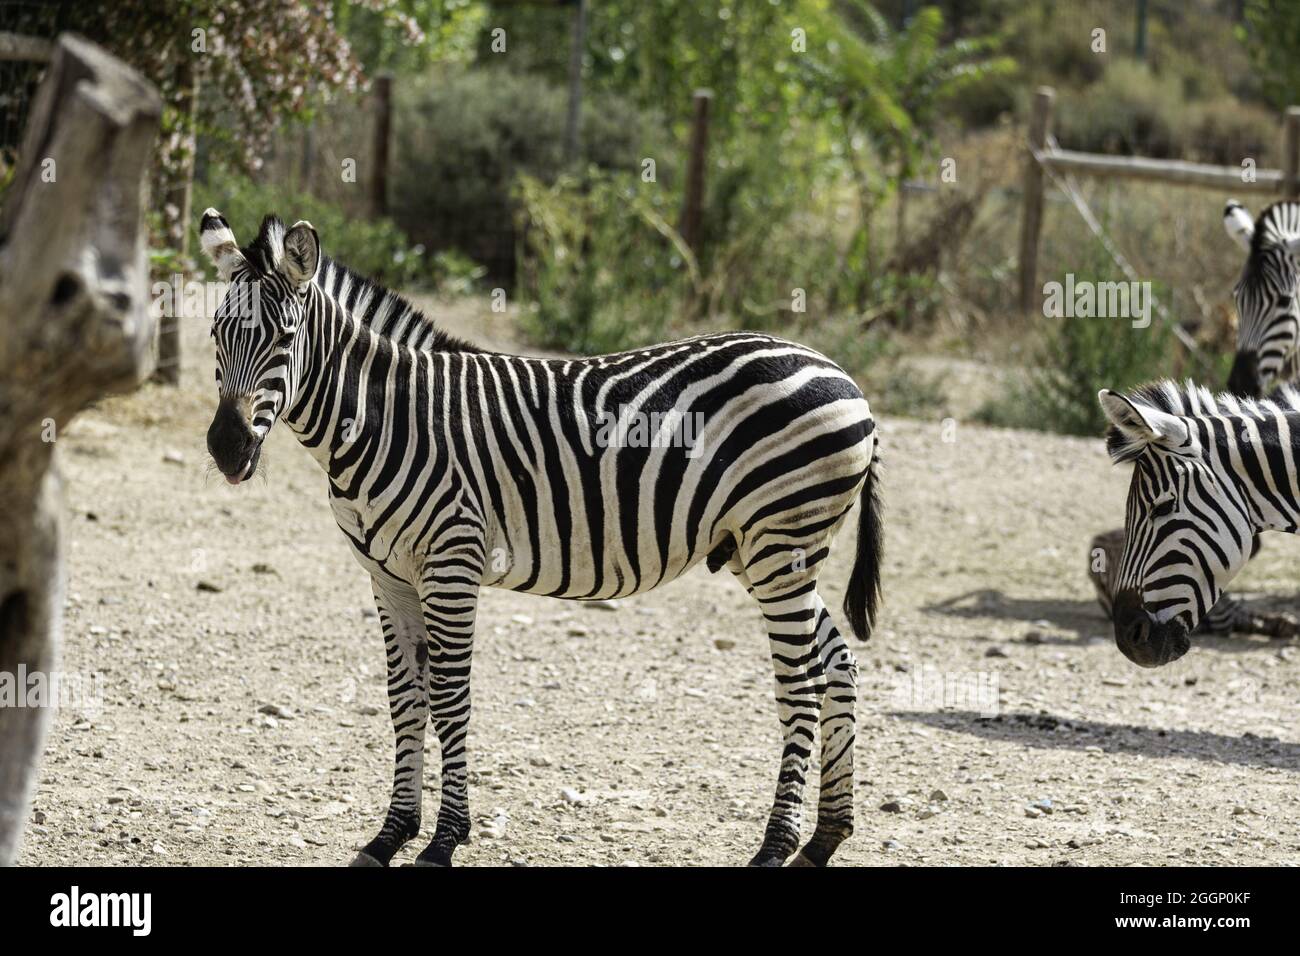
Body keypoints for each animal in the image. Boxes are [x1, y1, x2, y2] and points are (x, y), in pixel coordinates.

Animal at [198, 209, 883, 867]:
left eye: (285, 338)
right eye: (214, 335)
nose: (227, 449)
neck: (387, 420)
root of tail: (844, 376)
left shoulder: (452, 561)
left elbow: (450, 696)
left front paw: (443, 841)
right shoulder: (388, 576)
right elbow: (405, 698)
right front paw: (390, 835)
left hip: (781, 542)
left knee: (802, 683)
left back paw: (774, 847)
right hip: (765, 551)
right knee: (838, 662)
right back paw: (824, 839)